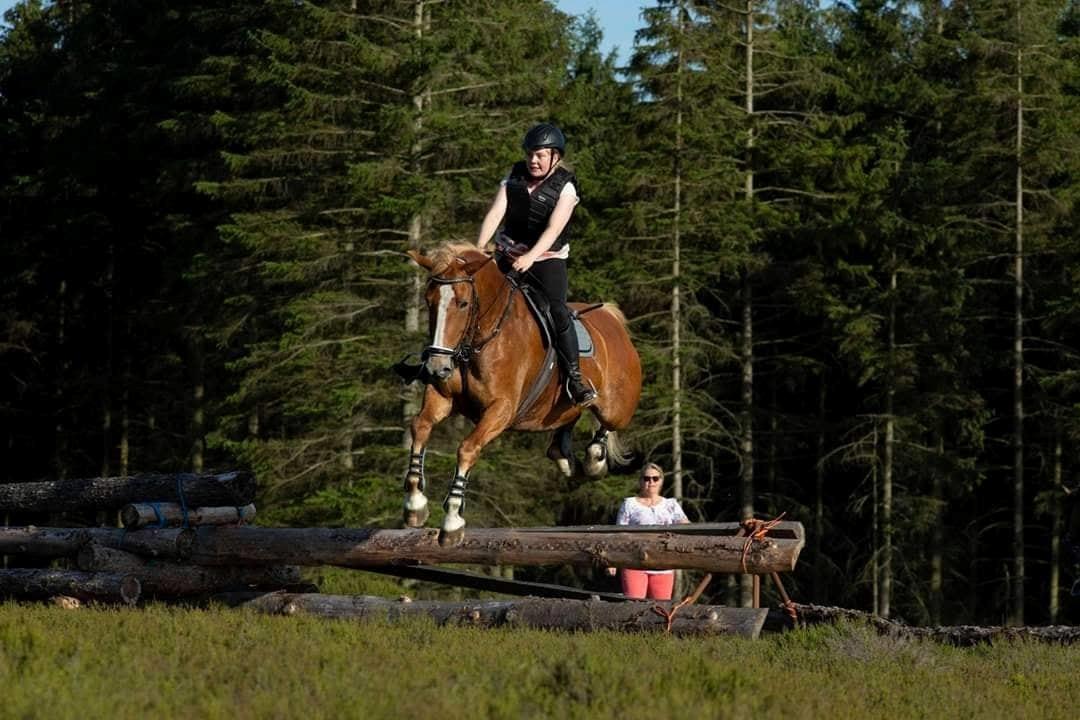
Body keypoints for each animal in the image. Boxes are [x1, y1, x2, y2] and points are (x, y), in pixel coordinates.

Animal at [403, 241, 639, 539]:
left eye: (463, 303)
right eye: (429, 302)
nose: (436, 368)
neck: (480, 338)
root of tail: (610, 317)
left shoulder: (501, 409)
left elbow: (467, 448)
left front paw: (453, 518)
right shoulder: (442, 397)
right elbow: (420, 426)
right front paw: (415, 503)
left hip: (617, 408)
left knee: (606, 423)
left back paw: (595, 457)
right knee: (571, 413)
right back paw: (561, 452)